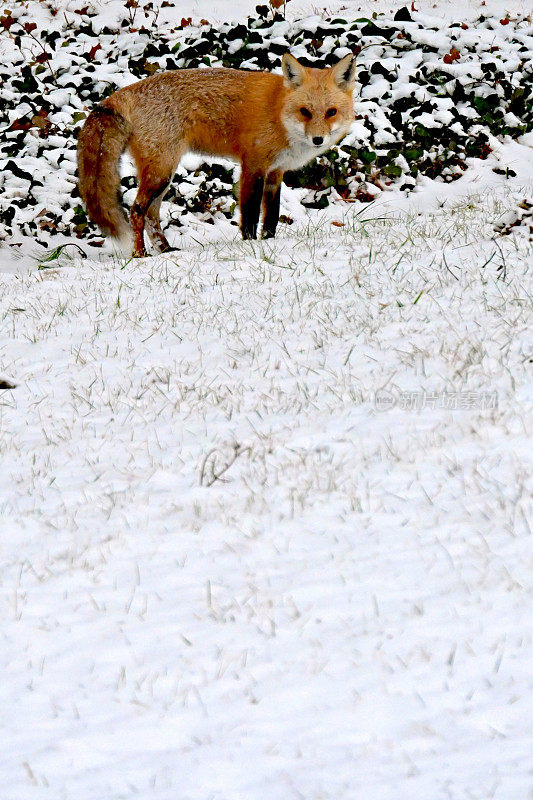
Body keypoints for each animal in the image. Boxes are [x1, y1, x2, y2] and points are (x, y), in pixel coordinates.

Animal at [77, 52, 356, 256]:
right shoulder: (253, 166)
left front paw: (268, 242)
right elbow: (250, 215)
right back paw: (140, 254)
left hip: (163, 174)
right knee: (136, 210)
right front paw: (251, 247)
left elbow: (272, 217)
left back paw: (165, 249)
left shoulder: (276, 172)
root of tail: (123, 92)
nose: (318, 139)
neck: (278, 113)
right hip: (160, 172)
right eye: (305, 112)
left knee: (151, 214)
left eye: (331, 112)